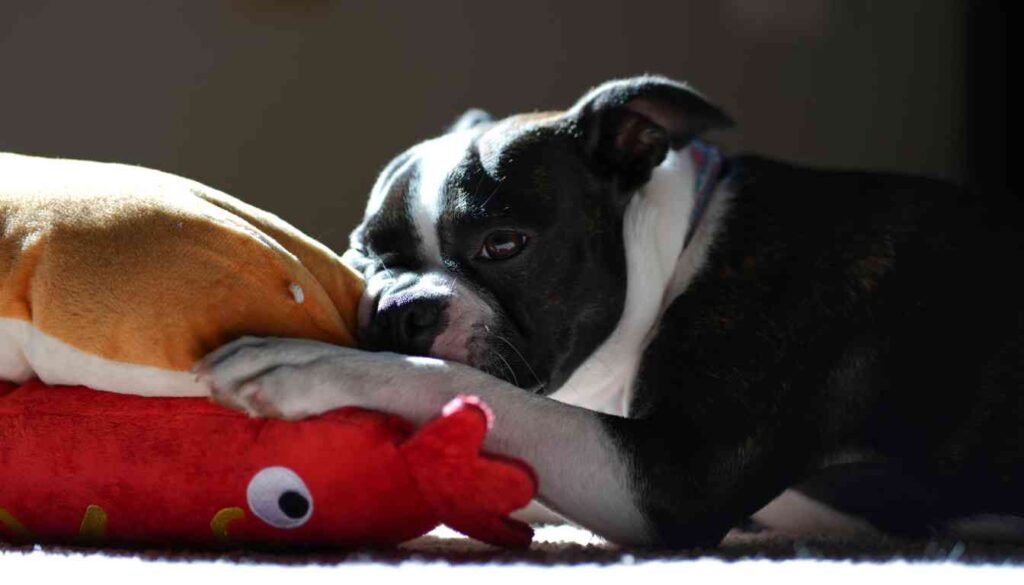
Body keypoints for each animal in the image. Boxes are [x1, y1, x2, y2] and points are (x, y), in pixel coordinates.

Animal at [197, 75, 1024, 549]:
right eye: (364, 254)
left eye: (504, 243)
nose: (402, 310)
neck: (681, 253)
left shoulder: (670, 480)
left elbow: (462, 384)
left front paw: (304, 364)